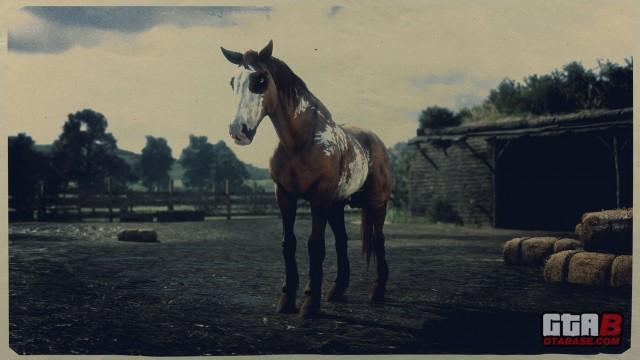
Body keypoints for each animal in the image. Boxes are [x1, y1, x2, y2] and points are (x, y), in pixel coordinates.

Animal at [219, 40, 390, 320]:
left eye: (260, 80)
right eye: (233, 82)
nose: (238, 131)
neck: (301, 142)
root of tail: (376, 141)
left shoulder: (318, 198)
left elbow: (315, 245)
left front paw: (310, 303)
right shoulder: (285, 196)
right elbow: (289, 244)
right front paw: (287, 299)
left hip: (377, 204)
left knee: (378, 240)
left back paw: (377, 292)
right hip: (337, 206)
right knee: (342, 240)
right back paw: (336, 290)